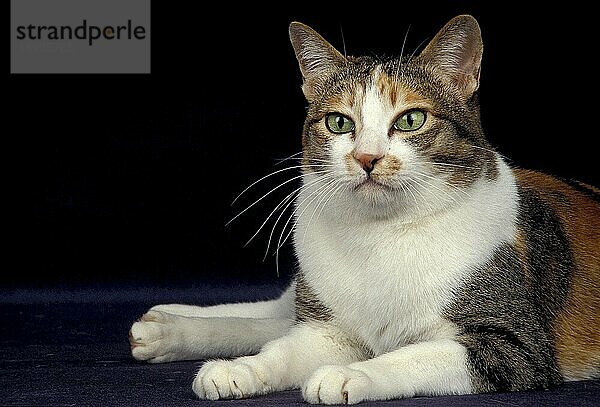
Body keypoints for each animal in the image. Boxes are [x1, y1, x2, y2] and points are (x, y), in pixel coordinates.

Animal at [129, 14, 596, 404]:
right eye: (339, 123)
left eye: (410, 120)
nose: (367, 157)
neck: (379, 235)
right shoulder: (328, 331)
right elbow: (280, 351)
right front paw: (242, 369)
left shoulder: (515, 346)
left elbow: (411, 354)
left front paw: (349, 374)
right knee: (276, 315)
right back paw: (166, 326)